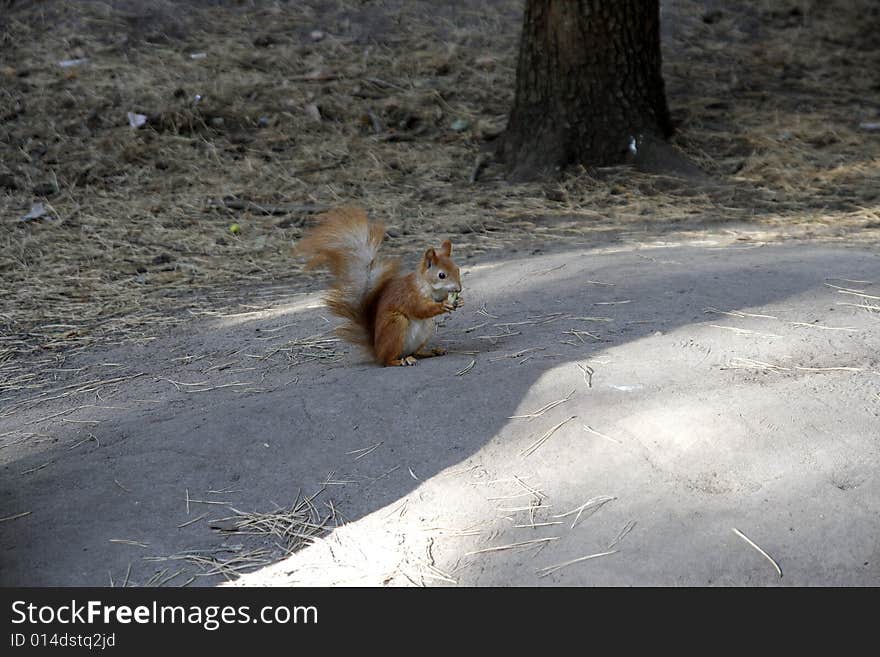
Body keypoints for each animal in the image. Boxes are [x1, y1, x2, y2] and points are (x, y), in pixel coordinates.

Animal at [296, 206, 464, 366]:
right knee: (387, 360)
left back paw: (431, 351)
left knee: (416, 352)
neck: (428, 286)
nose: (459, 289)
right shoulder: (409, 295)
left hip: (425, 329)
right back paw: (400, 361)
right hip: (396, 325)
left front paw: (459, 300)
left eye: (457, 269)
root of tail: (377, 350)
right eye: (441, 275)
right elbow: (420, 309)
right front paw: (444, 305)